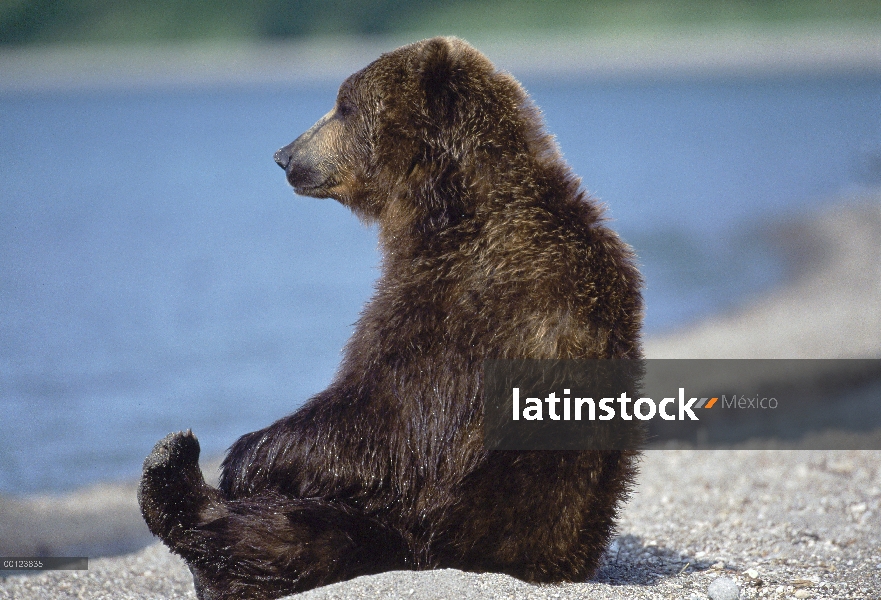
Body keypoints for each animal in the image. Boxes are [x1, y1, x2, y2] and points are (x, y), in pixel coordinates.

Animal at [141, 37, 644, 600]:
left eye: (343, 105)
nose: (284, 155)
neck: (447, 209)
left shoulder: (467, 303)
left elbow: (391, 417)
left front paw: (246, 456)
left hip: (424, 530)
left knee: (294, 535)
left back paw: (173, 471)